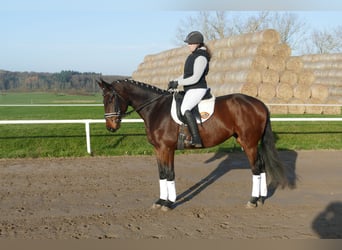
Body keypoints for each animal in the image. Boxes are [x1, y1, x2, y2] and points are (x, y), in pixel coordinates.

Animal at [97, 78, 288, 211]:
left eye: (111, 98)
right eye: (103, 100)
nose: (111, 127)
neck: (156, 109)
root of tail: (259, 103)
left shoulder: (167, 149)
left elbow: (170, 173)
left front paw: (169, 203)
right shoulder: (158, 149)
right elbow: (161, 173)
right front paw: (160, 201)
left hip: (249, 144)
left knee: (255, 168)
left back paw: (253, 200)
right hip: (250, 143)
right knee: (261, 166)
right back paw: (261, 198)